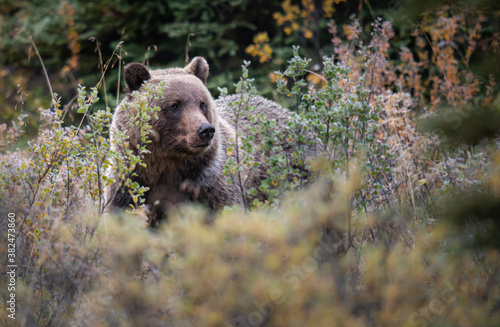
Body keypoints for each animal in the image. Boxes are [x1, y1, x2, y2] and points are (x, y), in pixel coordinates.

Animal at [104, 57, 310, 226]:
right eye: (175, 105)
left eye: (202, 103)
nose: (205, 130)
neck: (166, 163)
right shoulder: (130, 180)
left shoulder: (210, 183)